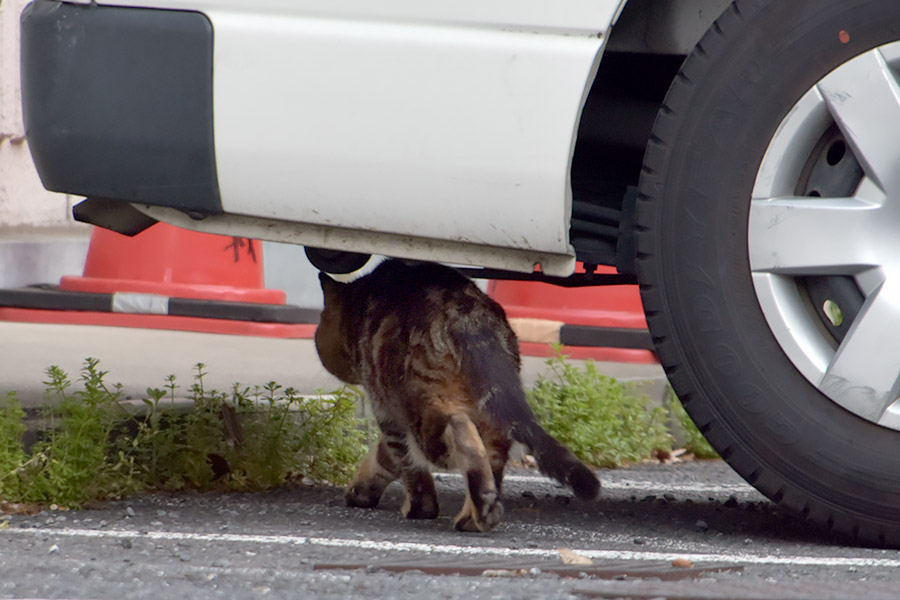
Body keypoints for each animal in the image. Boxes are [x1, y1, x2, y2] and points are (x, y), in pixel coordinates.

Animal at [312, 260, 600, 532]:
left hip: (424, 411)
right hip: (492, 410)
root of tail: (468, 315)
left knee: (461, 435)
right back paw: (480, 512)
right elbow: (385, 458)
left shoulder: (388, 411)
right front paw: (362, 488)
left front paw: (419, 508)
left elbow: (406, 465)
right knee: (493, 457)